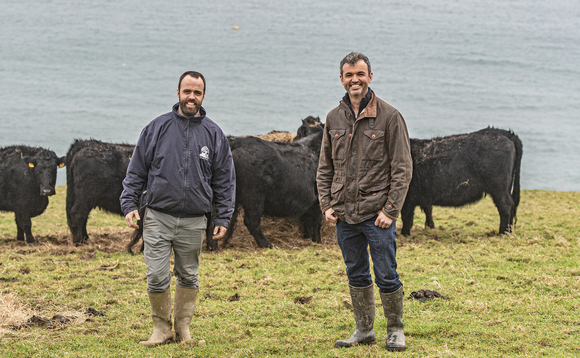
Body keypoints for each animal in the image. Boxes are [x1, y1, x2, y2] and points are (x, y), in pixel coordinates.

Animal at [222, 119, 324, 248]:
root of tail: (237, 142)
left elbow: (307, 222)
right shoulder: (318, 200)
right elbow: (317, 222)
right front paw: (318, 241)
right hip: (254, 198)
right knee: (251, 222)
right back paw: (267, 245)